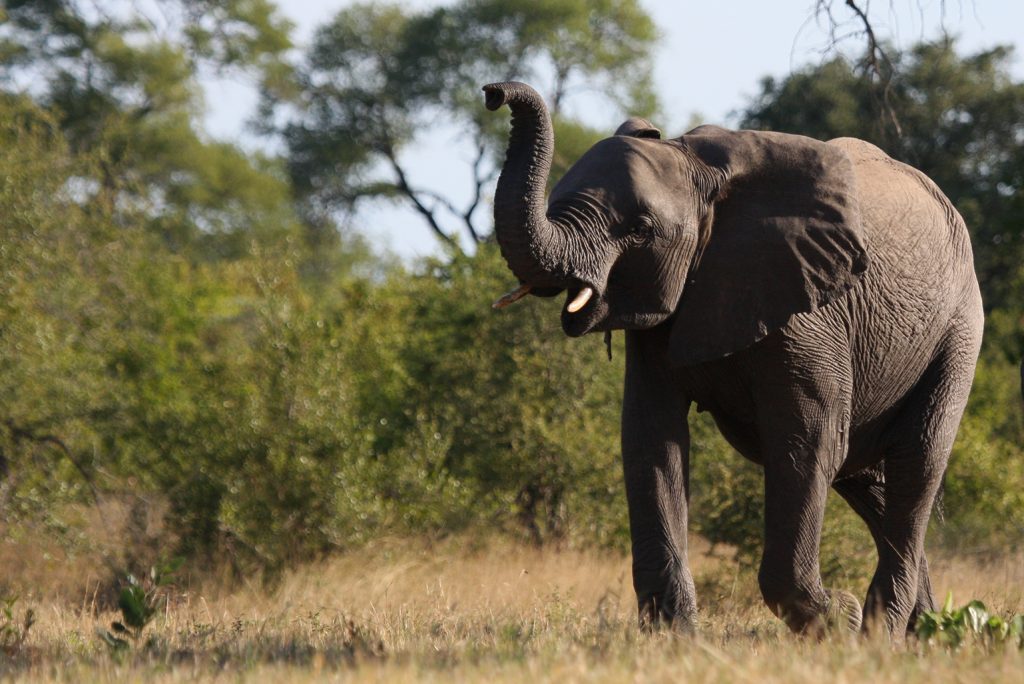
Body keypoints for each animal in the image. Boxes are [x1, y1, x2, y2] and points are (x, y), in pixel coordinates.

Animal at [483, 81, 983, 639]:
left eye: (640, 230)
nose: (494, 92)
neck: (697, 170)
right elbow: (651, 438)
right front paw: (673, 637)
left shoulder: (809, 310)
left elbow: (807, 441)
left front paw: (840, 618)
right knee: (869, 480)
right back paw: (923, 632)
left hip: (959, 327)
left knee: (915, 462)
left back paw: (880, 634)